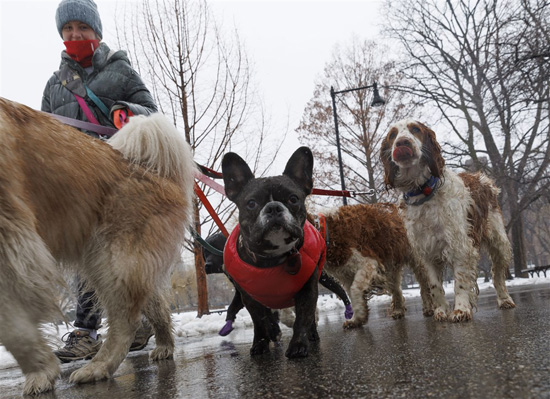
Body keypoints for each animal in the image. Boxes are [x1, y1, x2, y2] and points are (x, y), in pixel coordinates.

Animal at [0, 98, 197, 396]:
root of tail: (155, 172)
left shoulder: (14, 239)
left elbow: (14, 327)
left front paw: (40, 371)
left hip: (113, 259)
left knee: (126, 320)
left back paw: (98, 367)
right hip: (121, 261)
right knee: (155, 305)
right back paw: (164, 346)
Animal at [380, 119, 516, 324]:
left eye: (415, 129)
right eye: (392, 135)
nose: (402, 142)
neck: (423, 193)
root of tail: (481, 177)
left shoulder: (460, 246)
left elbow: (460, 282)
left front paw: (460, 310)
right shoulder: (426, 253)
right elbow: (435, 286)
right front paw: (441, 311)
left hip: (499, 242)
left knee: (498, 274)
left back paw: (504, 299)